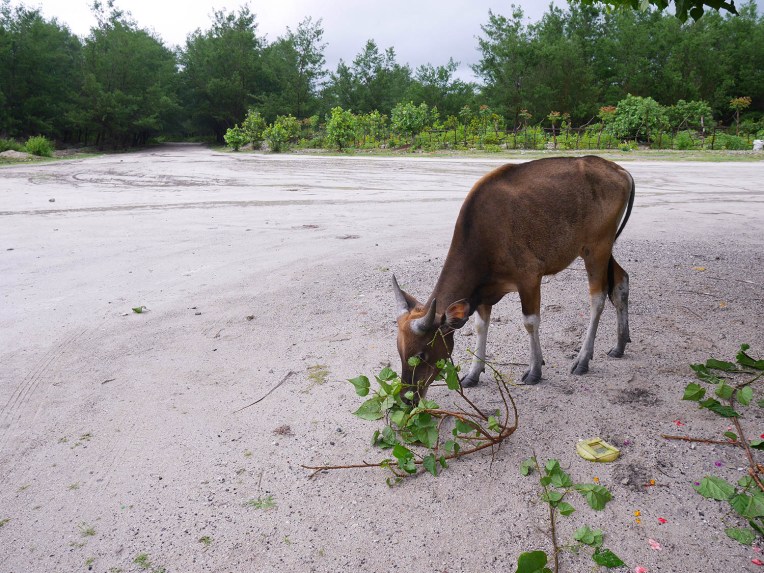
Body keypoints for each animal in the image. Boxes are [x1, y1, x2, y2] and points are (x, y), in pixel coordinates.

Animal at [392, 156, 634, 401]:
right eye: (399, 351)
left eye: (421, 354)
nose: (406, 398)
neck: (485, 234)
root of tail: (619, 170)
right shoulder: (482, 293)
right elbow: (481, 326)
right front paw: (474, 373)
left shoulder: (529, 278)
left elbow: (530, 321)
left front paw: (535, 370)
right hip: (598, 249)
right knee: (621, 281)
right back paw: (620, 344)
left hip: (597, 248)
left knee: (598, 298)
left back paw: (583, 359)